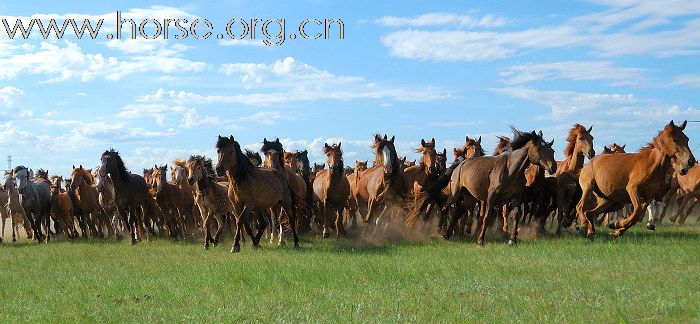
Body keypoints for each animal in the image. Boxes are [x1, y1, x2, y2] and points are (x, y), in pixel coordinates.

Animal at [424, 128, 556, 244]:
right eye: (538, 148)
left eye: (552, 150)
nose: (553, 167)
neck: (511, 169)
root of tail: (460, 164)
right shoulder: (491, 197)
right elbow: (486, 216)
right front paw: (480, 240)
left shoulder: (516, 196)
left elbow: (516, 215)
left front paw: (512, 240)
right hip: (455, 193)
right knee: (445, 208)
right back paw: (440, 231)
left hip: (470, 198)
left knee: (457, 212)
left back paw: (447, 234)